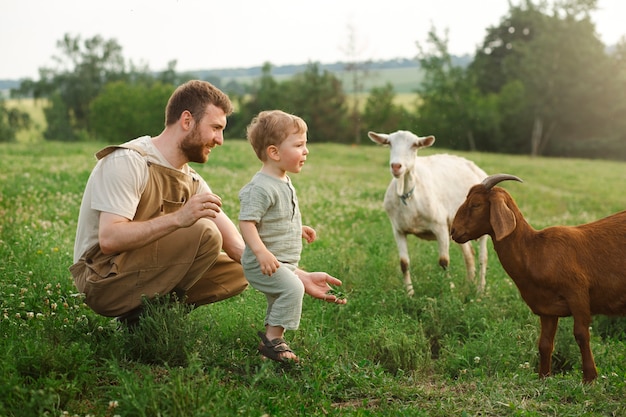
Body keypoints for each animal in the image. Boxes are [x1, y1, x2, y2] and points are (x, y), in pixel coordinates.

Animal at [368, 128, 490, 294]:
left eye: (414, 145)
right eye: (389, 143)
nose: (396, 166)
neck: (409, 196)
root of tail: (475, 168)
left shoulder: (440, 226)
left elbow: (444, 261)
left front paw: (449, 290)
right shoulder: (398, 230)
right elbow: (404, 263)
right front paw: (410, 293)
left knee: (483, 258)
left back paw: (480, 291)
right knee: (469, 254)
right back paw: (470, 285)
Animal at [448, 174, 624, 382]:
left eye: (476, 204)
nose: (453, 231)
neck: (535, 250)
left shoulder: (578, 293)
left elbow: (581, 335)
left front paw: (590, 378)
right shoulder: (547, 308)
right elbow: (545, 344)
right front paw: (543, 377)